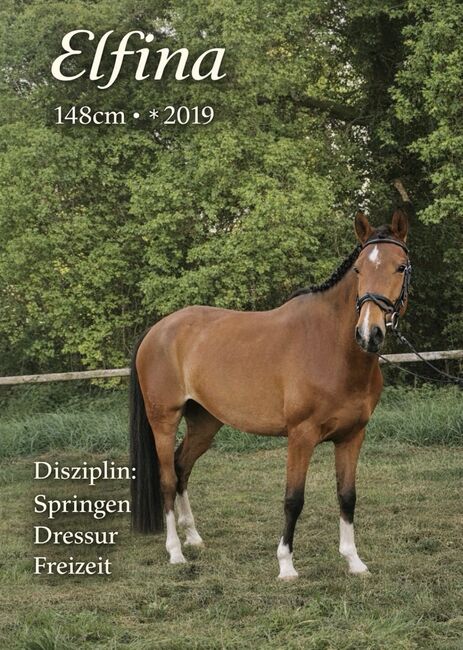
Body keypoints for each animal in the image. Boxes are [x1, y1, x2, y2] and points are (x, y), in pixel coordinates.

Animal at [129, 209, 410, 579]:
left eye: (401, 267)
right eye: (359, 270)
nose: (369, 333)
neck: (331, 348)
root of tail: (157, 330)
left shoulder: (353, 436)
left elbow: (347, 496)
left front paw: (354, 561)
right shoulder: (301, 436)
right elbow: (294, 499)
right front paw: (286, 565)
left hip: (205, 423)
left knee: (181, 468)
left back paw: (193, 537)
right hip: (164, 419)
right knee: (166, 478)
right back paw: (175, 552)